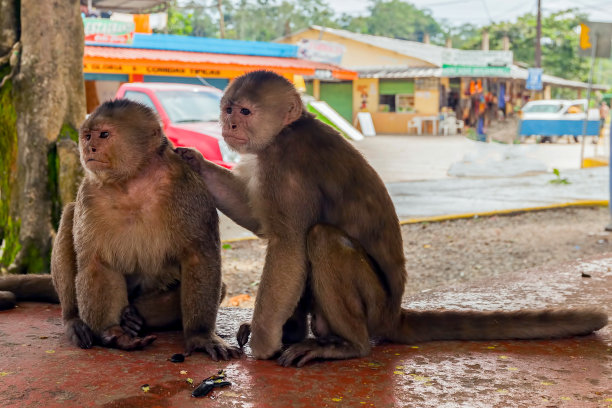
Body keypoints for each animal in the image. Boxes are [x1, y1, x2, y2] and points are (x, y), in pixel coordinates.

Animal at [2, 99, 241, 360]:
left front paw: (200, 335)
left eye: (104, 135)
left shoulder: (188, 188)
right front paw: (114, 333)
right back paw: (78, 320)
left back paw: (135, 316)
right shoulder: (91, 193)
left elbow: (199, 256)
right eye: (87, 136)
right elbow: (98, 262)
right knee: (69, 216)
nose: (90, 148)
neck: (133, 182)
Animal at [177, 71, 608, 368]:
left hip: (375, 306)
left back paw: (347, 345)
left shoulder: (285, 165)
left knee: (320, 239)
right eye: (227, 109)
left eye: (245, 112)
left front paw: (265, 345)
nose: (229, 125)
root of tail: (394, 312)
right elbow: (261, 223)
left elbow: (286, 245)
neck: (286, 131)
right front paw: (193, 160)